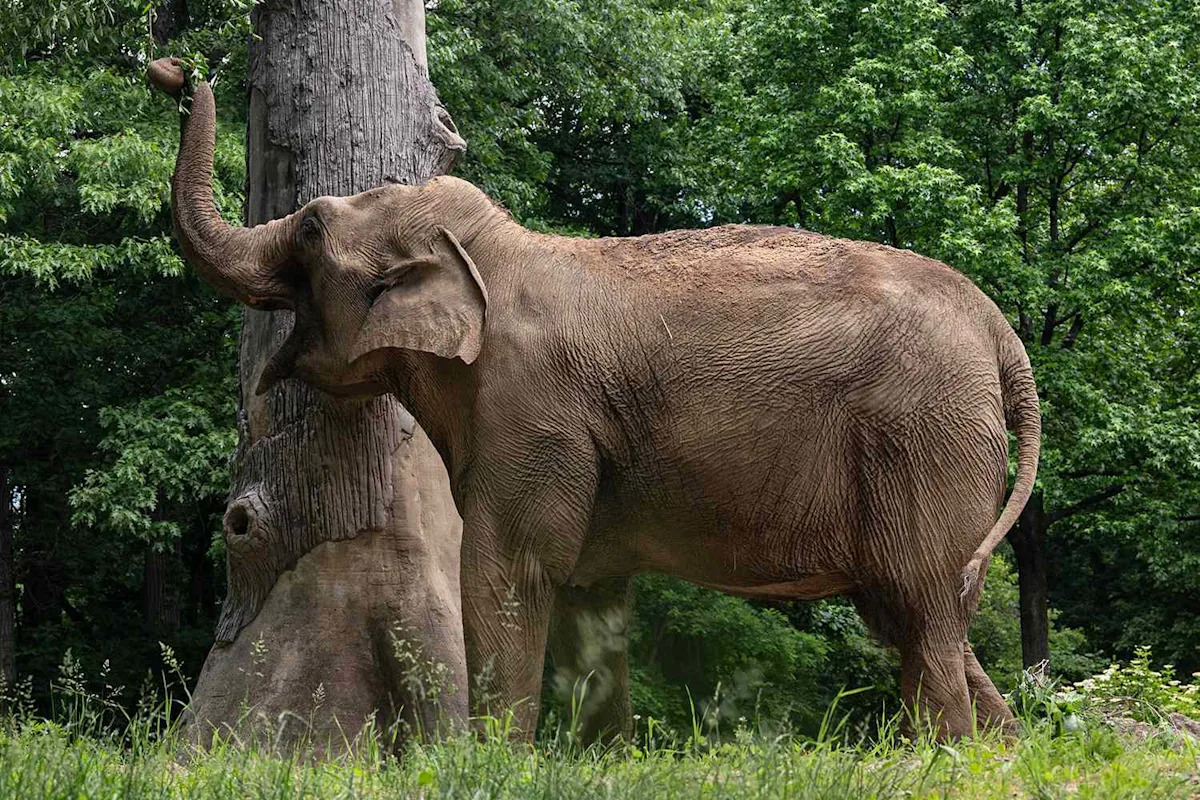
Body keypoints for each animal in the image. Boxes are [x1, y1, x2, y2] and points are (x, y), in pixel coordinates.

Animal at [149, 58, 1039, 741]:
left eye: (308, 230)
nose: (175, 70)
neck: (497, 254)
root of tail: (1001, 333)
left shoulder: (533, 412)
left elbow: (507, 573)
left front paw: (489, 765)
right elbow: (586, 594)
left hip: (923, 439)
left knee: (923, 612)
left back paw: (949, 761)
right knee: (920, 617)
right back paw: (996, 756)